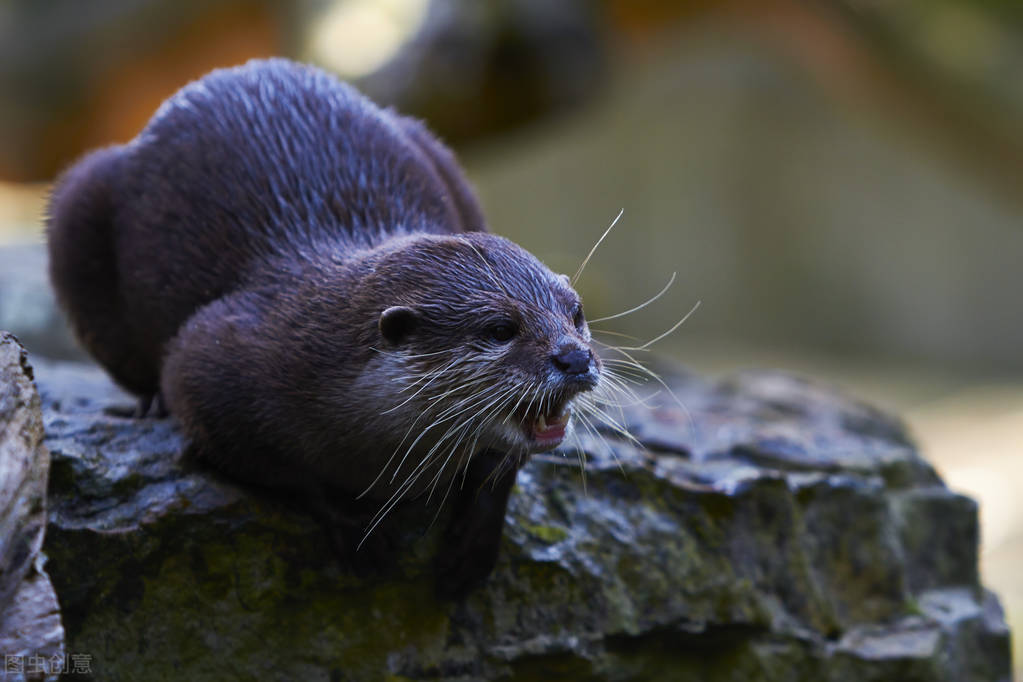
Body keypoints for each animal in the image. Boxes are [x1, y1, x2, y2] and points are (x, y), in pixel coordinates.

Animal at [48, 58, 601, 597]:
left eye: (575, 312)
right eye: (501, 328)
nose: (574, 357)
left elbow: (501, 469)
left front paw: (473, 541)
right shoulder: (211, 364)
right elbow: (277, 468)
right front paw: (354, 529)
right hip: (80, 200)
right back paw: (147, 404)